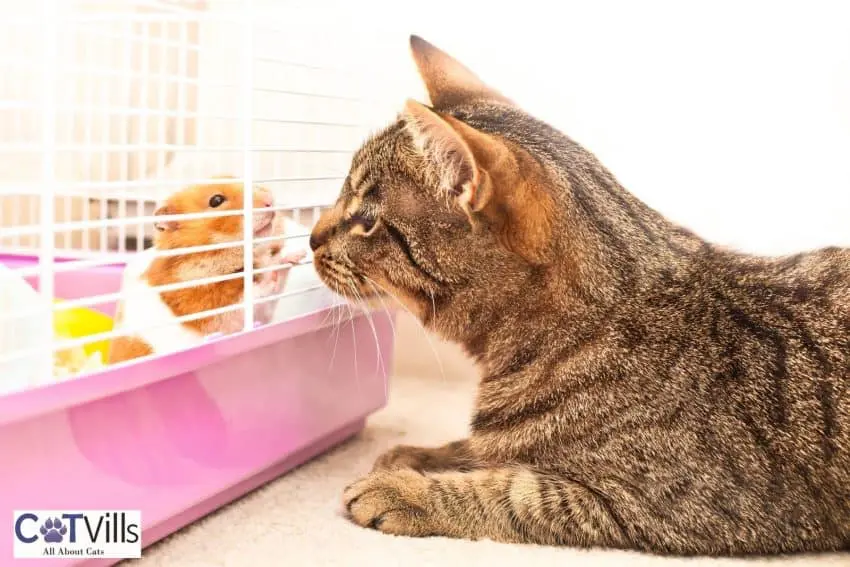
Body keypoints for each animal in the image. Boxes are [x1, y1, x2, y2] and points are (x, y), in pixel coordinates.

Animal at [106, 175, 304, 366]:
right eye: (216, 200)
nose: (270, 199)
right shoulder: (210, 309)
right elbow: (249, 295)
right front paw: (269, 274)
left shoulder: (263, 313)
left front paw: (295, 256)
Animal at [308, 36, 844, 560]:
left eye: (365, 220)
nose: (311, 238)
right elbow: (483, 449)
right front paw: (420, 456)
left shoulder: (657, 506)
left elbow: (511, 492)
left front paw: (407, 489)